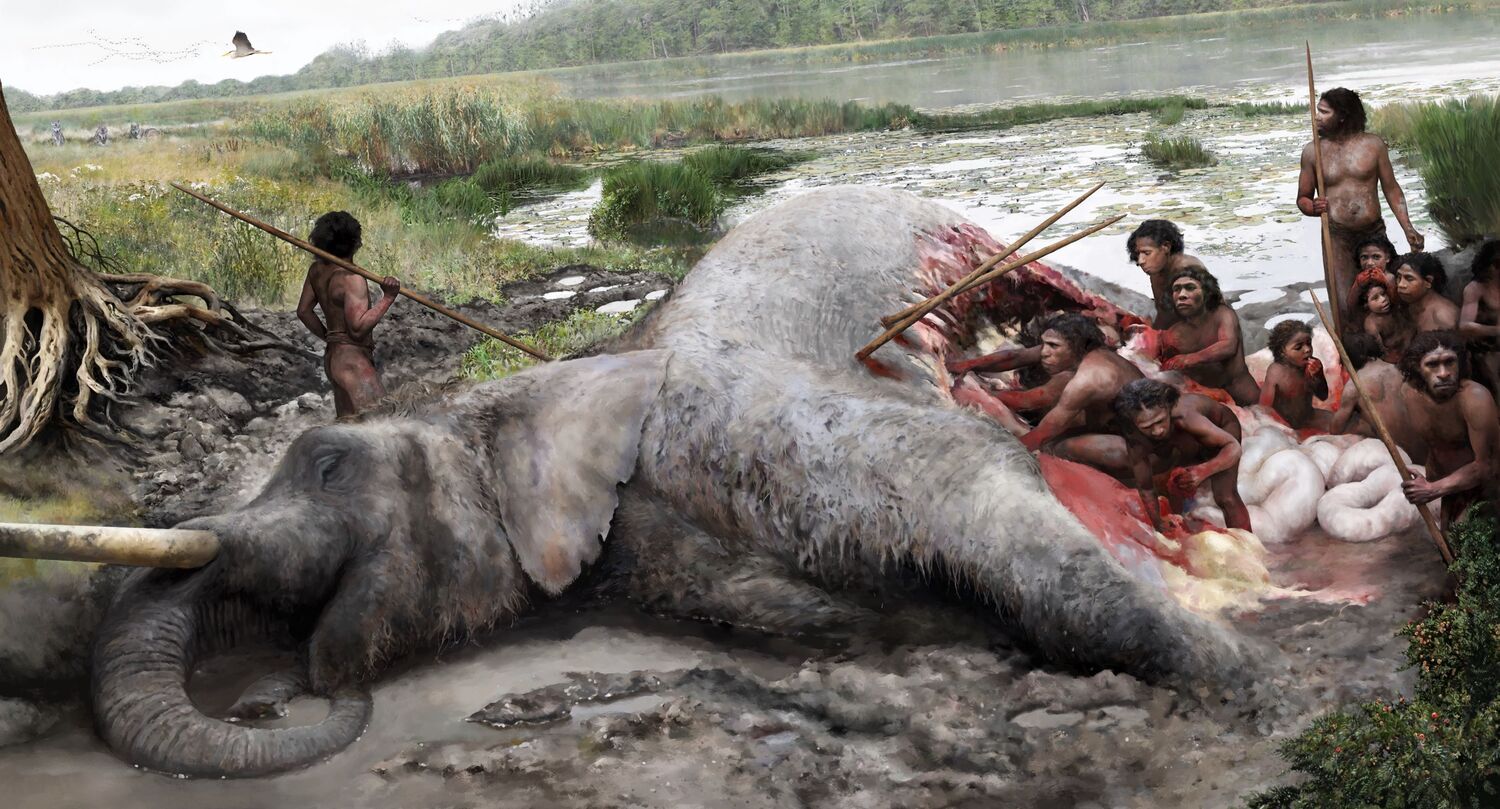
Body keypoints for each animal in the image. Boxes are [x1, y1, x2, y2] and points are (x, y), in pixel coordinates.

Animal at [51, 186, 1261, 778]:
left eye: (326, 460)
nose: (271, 694)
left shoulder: (770, 423)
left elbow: (980, 482)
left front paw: (1230, 673)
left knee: (1085, 293)